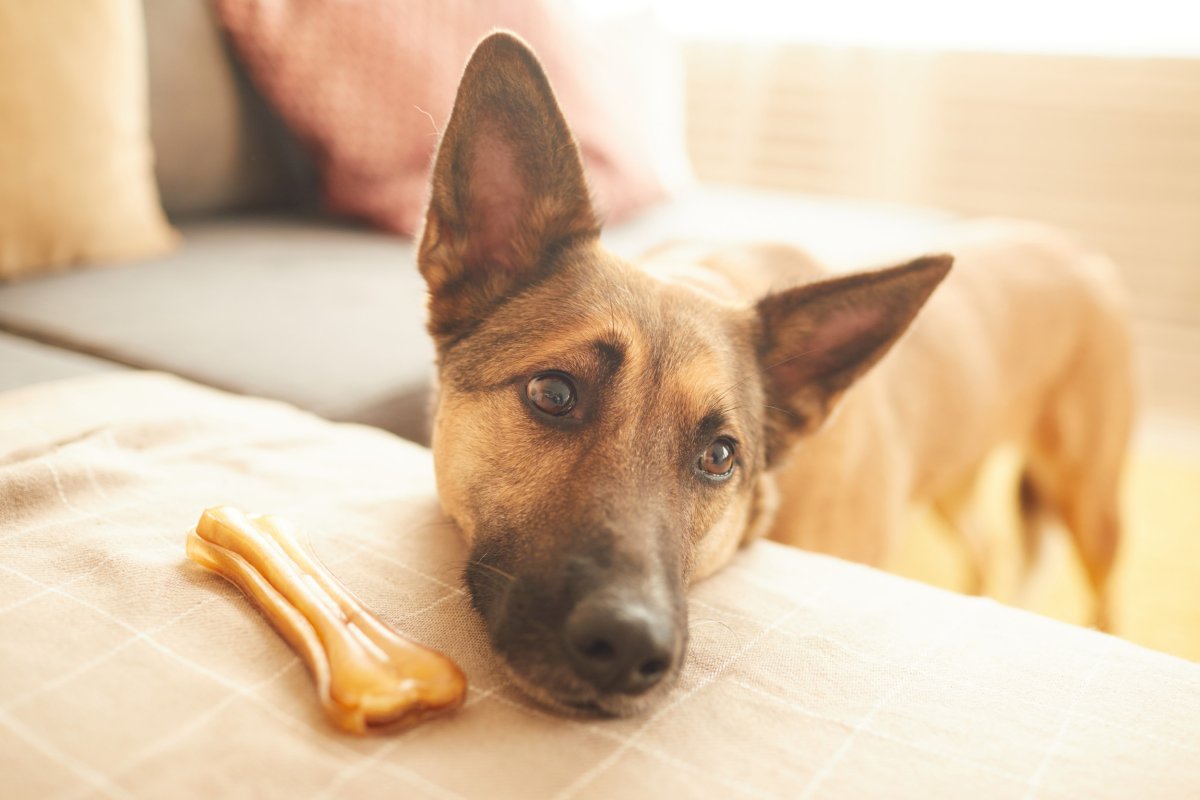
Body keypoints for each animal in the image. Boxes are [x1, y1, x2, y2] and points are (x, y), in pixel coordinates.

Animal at [420, 34, 1132, 714]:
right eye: (553, 393)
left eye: (719, 456)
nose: (628, 647)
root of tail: (1080, 252)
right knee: (988, 548)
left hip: (1091, 502)